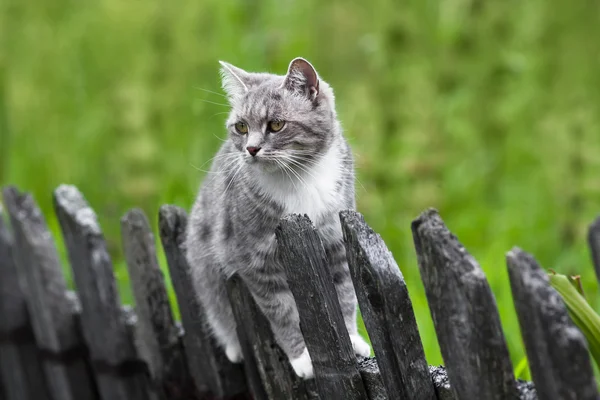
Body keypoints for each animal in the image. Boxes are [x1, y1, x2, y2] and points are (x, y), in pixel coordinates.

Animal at [185, 57, 370, 378]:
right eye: (241, 127)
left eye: (276, 124)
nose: (251, 148)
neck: (298, 178)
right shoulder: (254, 259)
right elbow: (282, 311)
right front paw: (302, 357)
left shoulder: (336, 245)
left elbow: (345, 297)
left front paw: (352, 338)